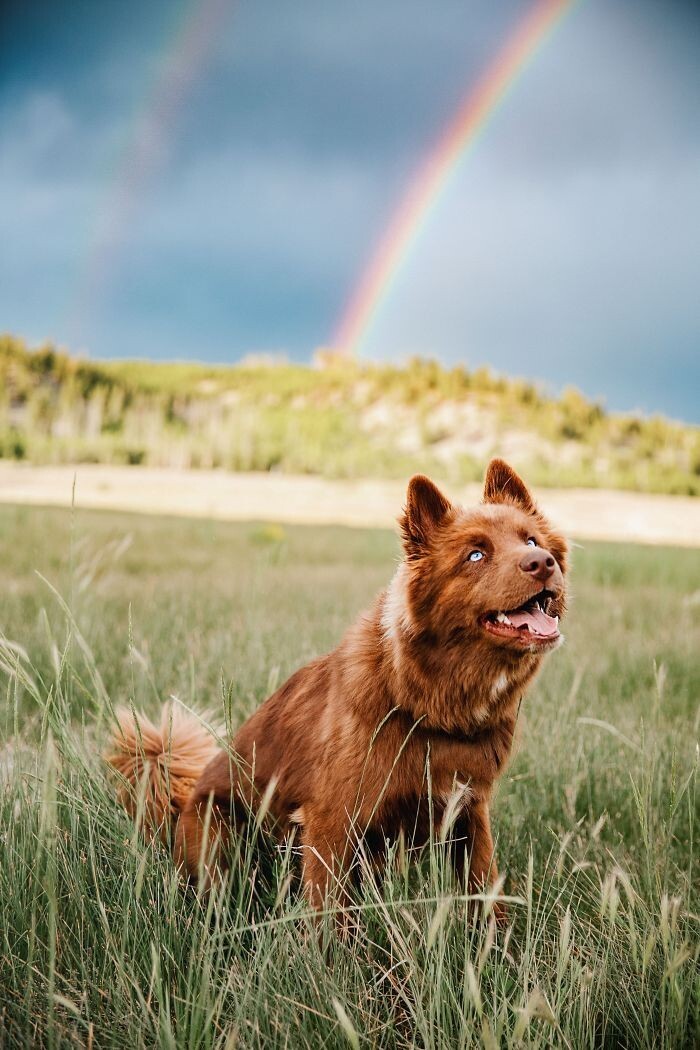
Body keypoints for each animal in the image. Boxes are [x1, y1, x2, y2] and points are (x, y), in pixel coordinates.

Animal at [108, 461, 570, 919]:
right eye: (475, 555)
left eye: (531, 540)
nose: (543, 563)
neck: (426, 699)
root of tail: (177, 810)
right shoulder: (331, 821)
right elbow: (332, 917)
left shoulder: (469, 811)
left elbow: (485, 893)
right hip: (221, 834)